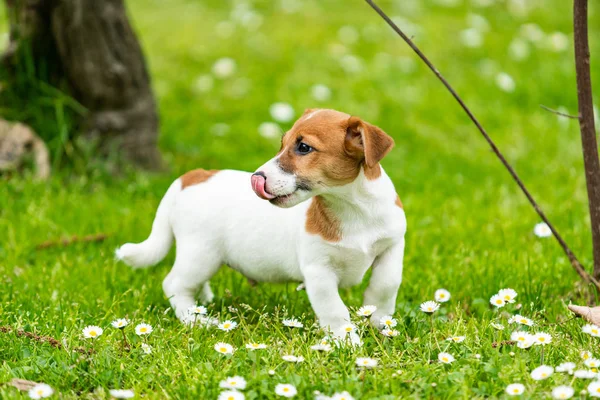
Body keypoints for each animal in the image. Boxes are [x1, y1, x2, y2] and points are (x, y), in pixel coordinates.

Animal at [116, 108, 408, 346]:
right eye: (282, 144)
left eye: (303, 147)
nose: (256, 178)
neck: (352, 208)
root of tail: (192, 176)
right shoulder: (319, 271)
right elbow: (335, 310)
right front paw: (347, 341)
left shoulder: (393, 246)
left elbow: (387, 283)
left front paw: (380, 321)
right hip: (201, 254)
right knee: (174, 284)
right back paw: (197, 319)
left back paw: (204, 303)